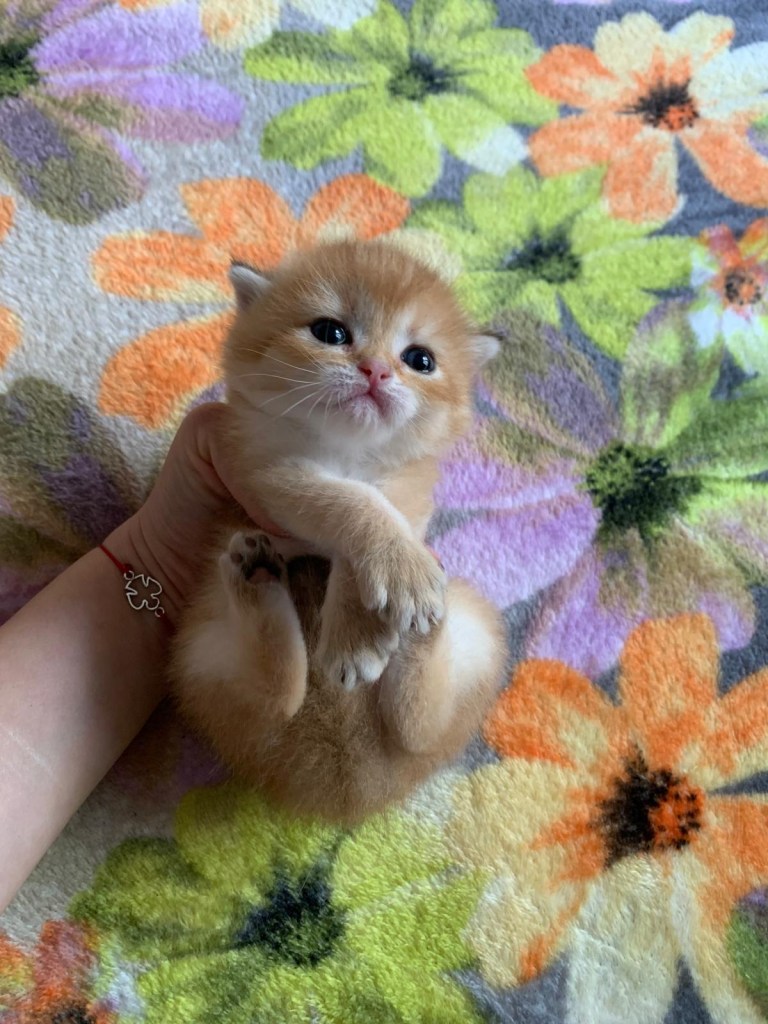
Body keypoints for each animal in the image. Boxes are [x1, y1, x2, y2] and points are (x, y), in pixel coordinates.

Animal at [171, 239, 507, 823]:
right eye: (330, 332)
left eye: (421, 360)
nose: (376, 371)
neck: (347, 452)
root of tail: (353, 785)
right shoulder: (266, 473)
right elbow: (351, 501)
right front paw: (362, 629)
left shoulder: (409, 486)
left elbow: (380, 510)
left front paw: (364, 624)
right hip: (200, 644)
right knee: (278, 696)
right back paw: (257, 579)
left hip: (480, 632)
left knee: (416, 727)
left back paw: (423, 614)